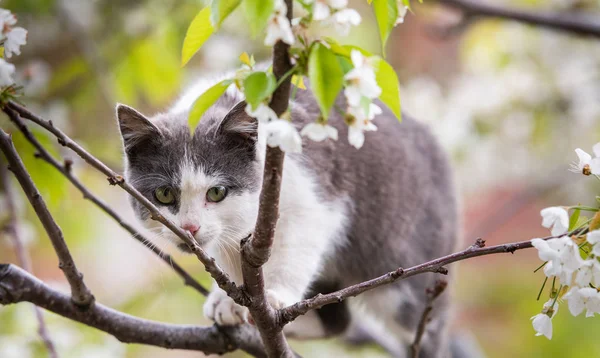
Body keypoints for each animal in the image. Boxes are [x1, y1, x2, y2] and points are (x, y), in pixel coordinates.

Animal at [115, 71, 458, 356]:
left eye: (216, 192)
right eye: (164, 194)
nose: (189, 227)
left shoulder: (315, 198)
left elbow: (300, 242)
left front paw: (276, 296)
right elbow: (228, 249)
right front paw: (228, 299)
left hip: (404, 261)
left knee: (424, 326)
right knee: (339, 321)